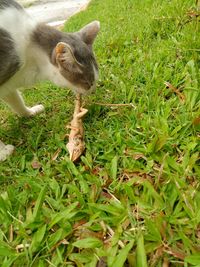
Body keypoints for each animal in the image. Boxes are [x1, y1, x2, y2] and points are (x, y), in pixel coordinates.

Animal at [0, 0, 100, 161]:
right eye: (88, 83)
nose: (93, 90)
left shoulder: (9, 81)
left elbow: (16, 100)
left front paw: (29, 112)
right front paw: (3, 152)